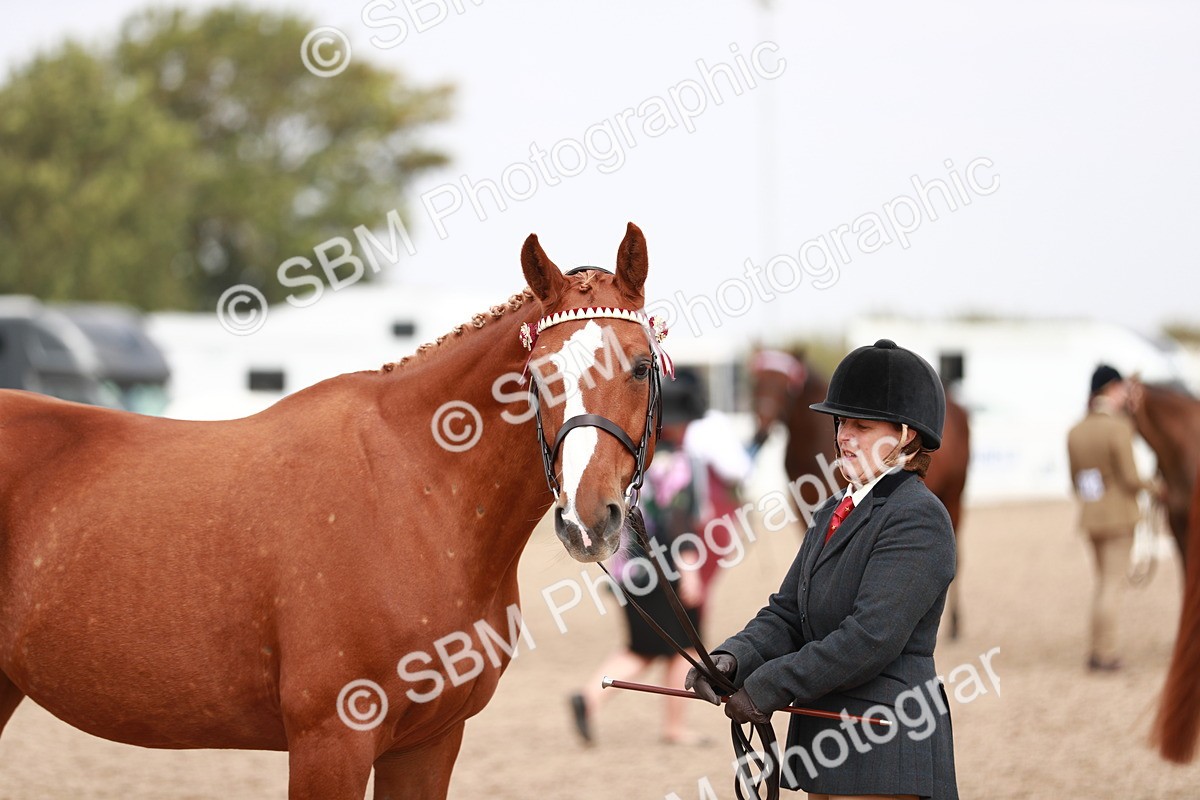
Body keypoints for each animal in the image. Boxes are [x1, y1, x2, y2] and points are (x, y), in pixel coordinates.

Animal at [0, 222, 668, 799]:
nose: (587, 519)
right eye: (538, 374)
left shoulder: (428, 744)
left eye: (640, 366)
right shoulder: (332, 741)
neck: (416, 489)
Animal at [749, 349, 971, 638]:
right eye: (755, 383)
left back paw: (954, 624)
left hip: (955, 494)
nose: (760, 434)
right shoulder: (806, 511)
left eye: (787, 387)